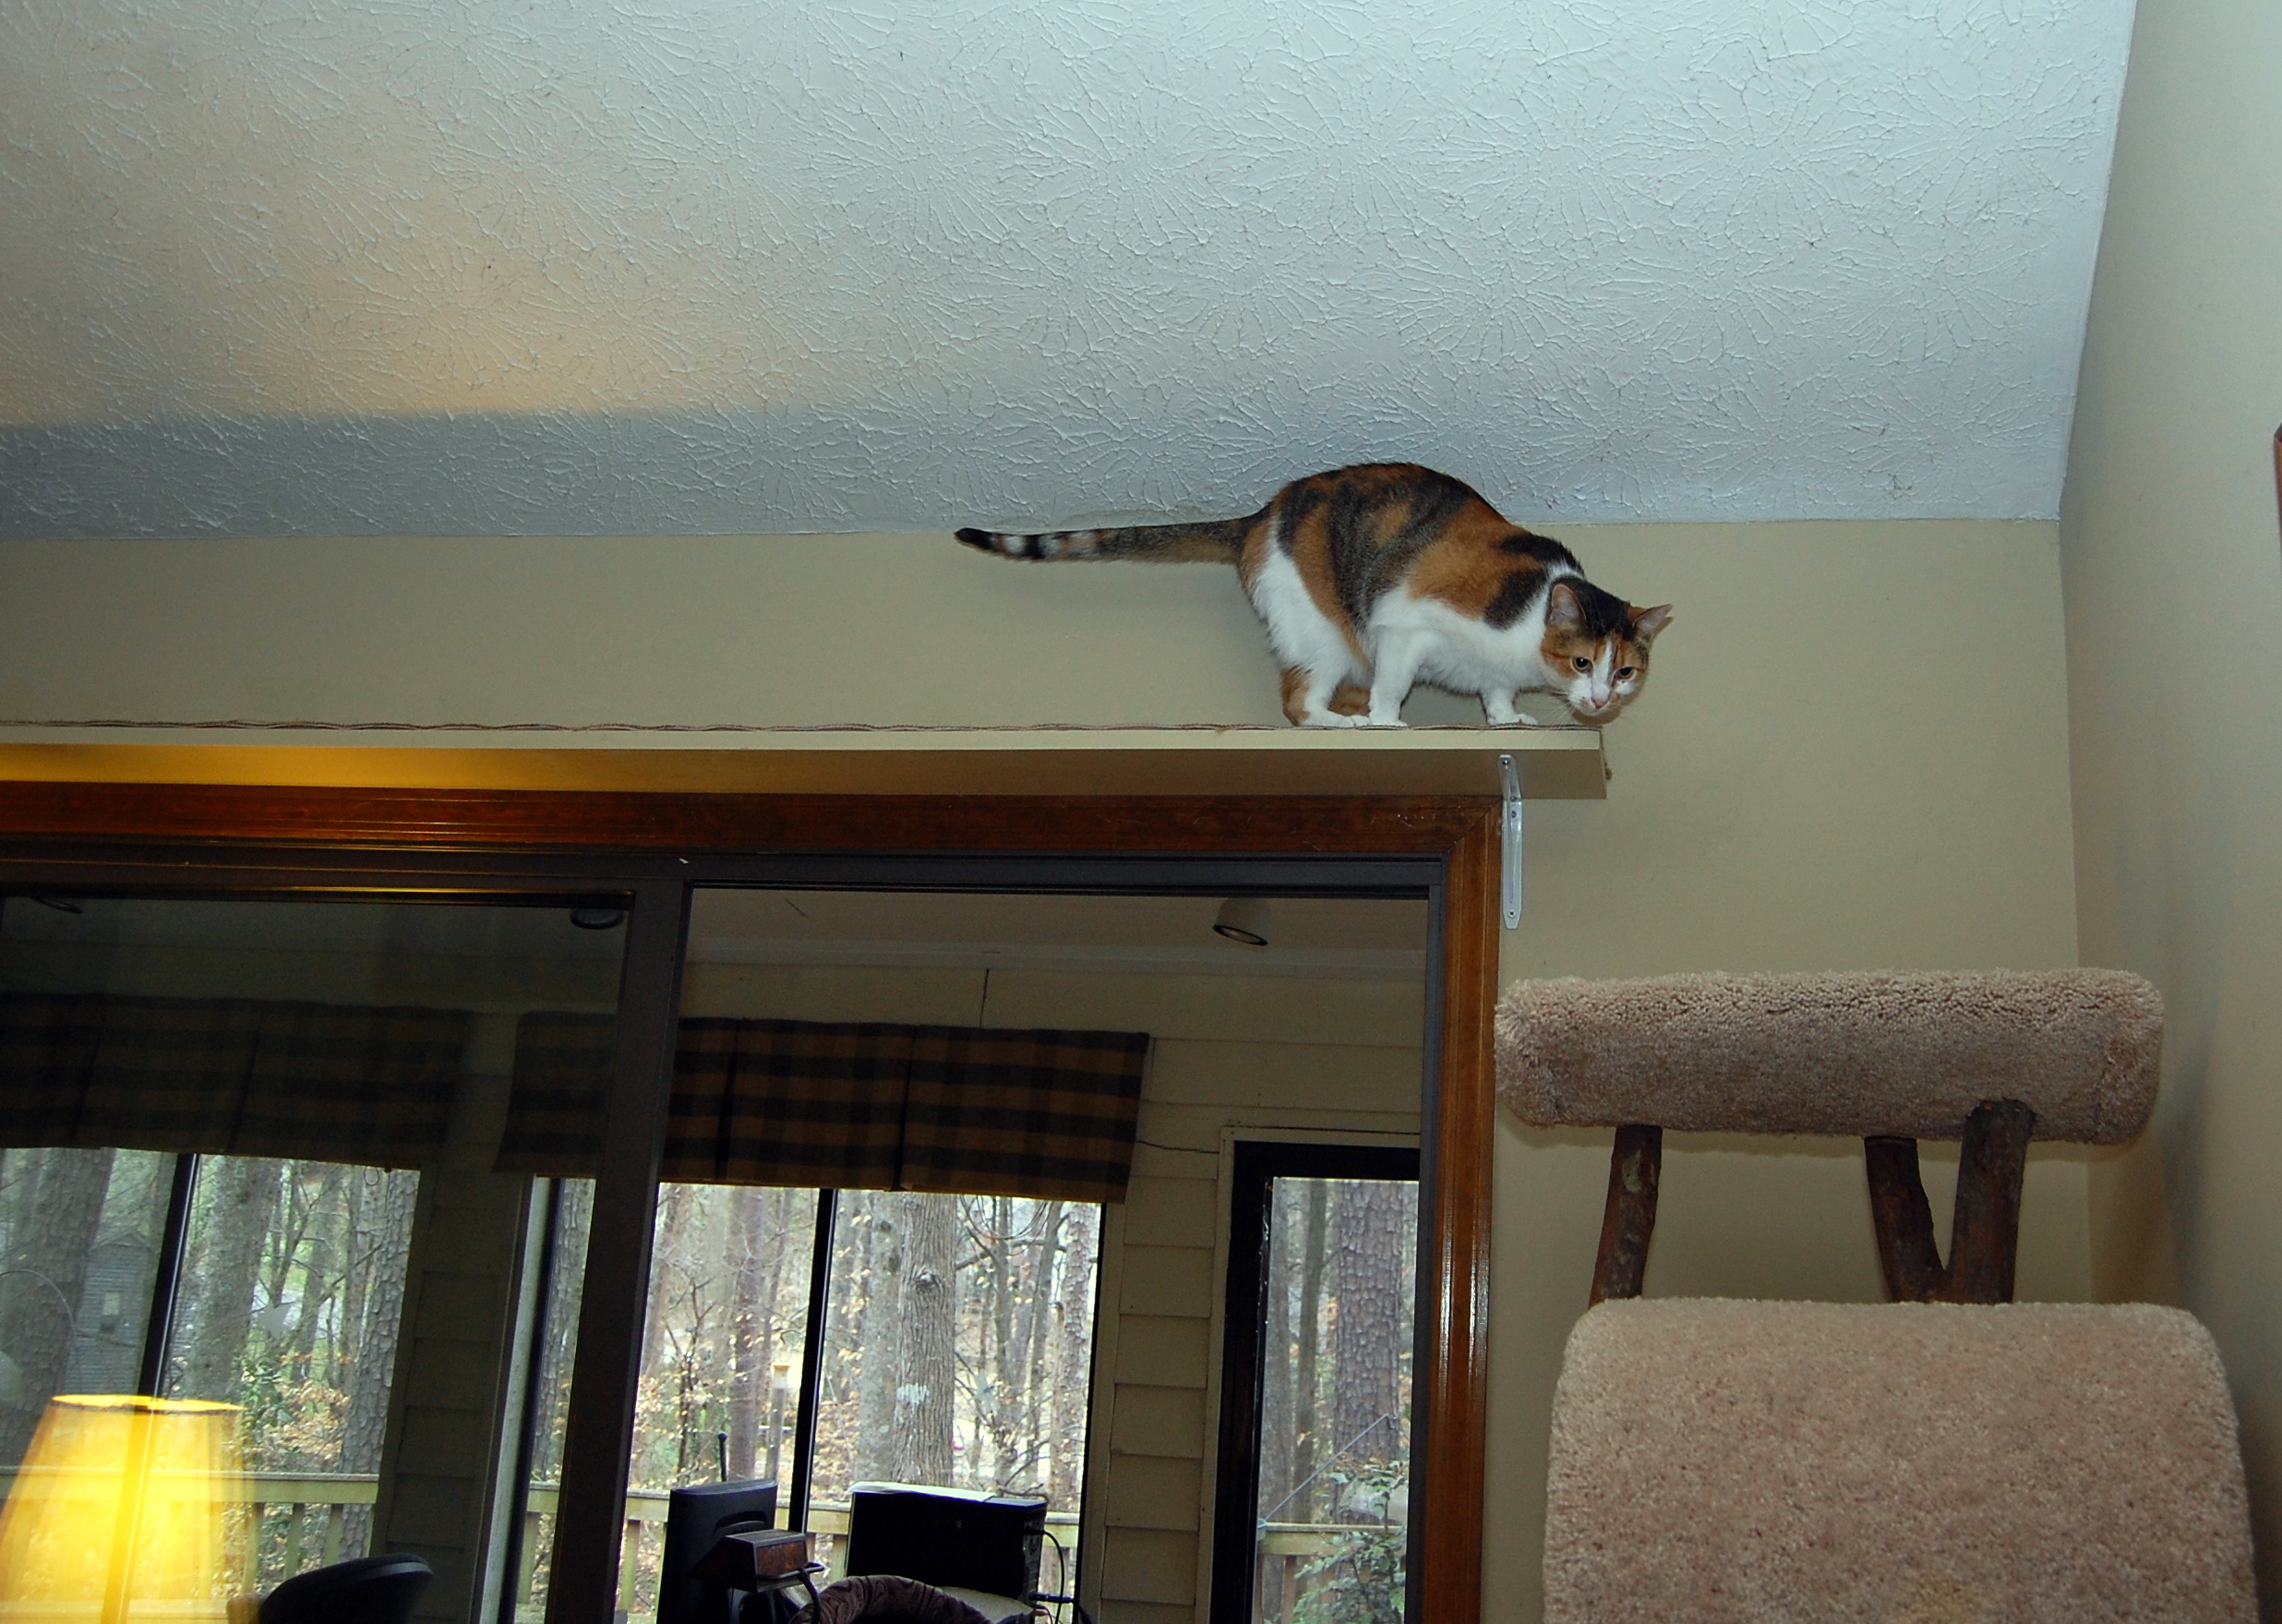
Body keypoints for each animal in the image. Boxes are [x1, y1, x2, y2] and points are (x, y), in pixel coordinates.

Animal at [954, 463, 1670, 729]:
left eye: (1626, 672)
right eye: (1583, 661)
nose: (1601, 700)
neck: (1524, 637)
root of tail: (1256, 516)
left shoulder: (1492, 673)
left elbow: (1494, 695)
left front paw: (1506, 719)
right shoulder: (1404, 626)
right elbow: (1393, 684)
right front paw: (1386, 721)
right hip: (1325, 634)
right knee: (1298, 703)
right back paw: (1346, 722)